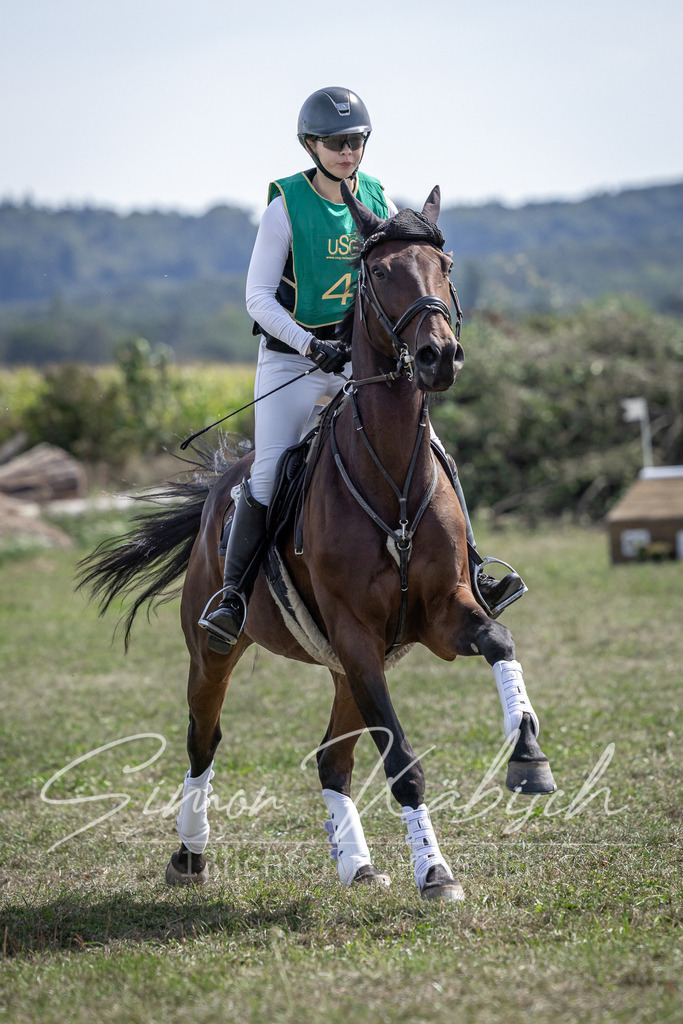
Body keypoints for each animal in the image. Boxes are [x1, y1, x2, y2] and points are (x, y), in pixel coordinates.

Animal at [78, 183, 556, 902]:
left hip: (348, 666)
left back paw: (355, 863)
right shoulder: (356, 633)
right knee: (203, 740)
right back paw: (189, 855)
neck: (391, 480)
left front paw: (527, 759)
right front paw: (435, 871)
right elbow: (403, 761)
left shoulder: (442, 614)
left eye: (444, 267)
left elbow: (498, 640)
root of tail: (223, 483)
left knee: (332, 761)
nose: (438, 357)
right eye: (378, 272)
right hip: (222, 651)